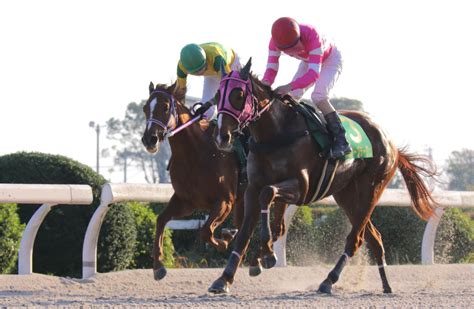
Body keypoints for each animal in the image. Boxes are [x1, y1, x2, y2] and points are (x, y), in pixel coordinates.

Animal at [209, 59, 438, 294]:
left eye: (238, 94)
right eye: (218, 95)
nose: (222, 137)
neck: (277, 133)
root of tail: (392, 144)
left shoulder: (301, 188)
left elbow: (268, 194)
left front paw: (268, 255)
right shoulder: (253, 187)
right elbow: (246, 231)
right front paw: (225, 278)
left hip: (372, 189)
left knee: (355, 239)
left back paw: (329, 280)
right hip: (347, 195)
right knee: (374, 238)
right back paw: (386, 285)